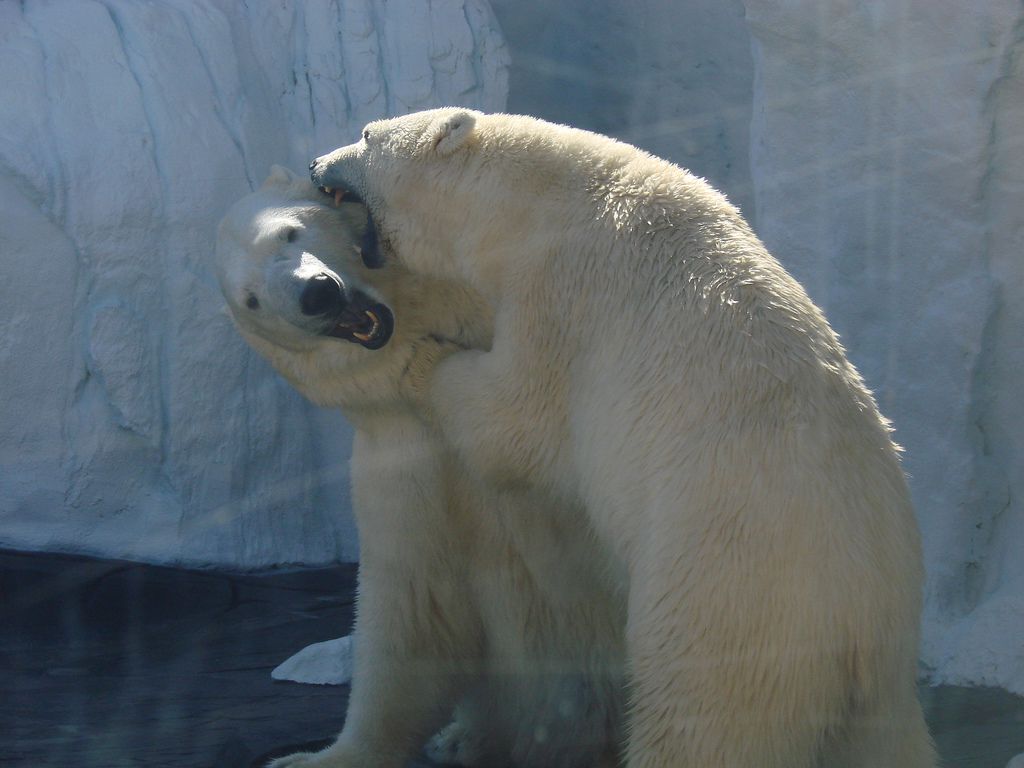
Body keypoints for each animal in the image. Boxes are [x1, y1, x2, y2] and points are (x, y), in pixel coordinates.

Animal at [216, 167, 622, 768]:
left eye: (289, 232)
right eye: (253, 301)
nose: (316, 294)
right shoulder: (408, 454)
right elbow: (413, 603)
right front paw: (313, 757)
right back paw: (462, 739)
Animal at [309, 109, 937, 768]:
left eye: (368, 133)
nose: (314, 163)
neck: (534, 199)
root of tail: (858, 624)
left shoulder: (560, 293)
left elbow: (516, 415)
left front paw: (424, 358)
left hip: (726, 595)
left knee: (698, 720)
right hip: (878, 680)